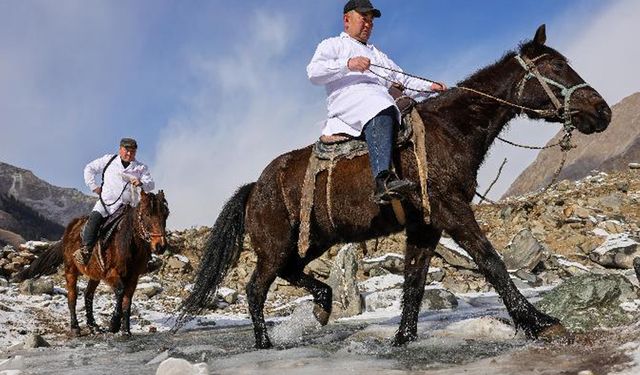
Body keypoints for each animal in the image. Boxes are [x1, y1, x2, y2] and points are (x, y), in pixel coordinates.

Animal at [15, 191, 170, 338]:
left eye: (166, 215)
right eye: (147, 214)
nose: (160, 246)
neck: (127, 243)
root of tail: (69, 230)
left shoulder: (133, 277)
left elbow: (127, 301)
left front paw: (126, 331)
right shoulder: (111, 273)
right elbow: (120, 292)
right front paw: (114, 325)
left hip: (95, 275)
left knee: (88, 295)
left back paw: (93, 326)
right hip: (71, 270)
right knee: (72, 297)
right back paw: (75, 328)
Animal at [178, 25, 612, 350]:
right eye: (557, 65)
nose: (601, 112)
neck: (450, 131)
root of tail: (256, 186)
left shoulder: (426, 224)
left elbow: (415, 280)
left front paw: (403, 337)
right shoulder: (452, 210)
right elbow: (491, 261)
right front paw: (540, 322)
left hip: (312, 240)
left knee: (289, 272)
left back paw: (323, 304)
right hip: (274, 245)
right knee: (255, 288)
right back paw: (265, 341)